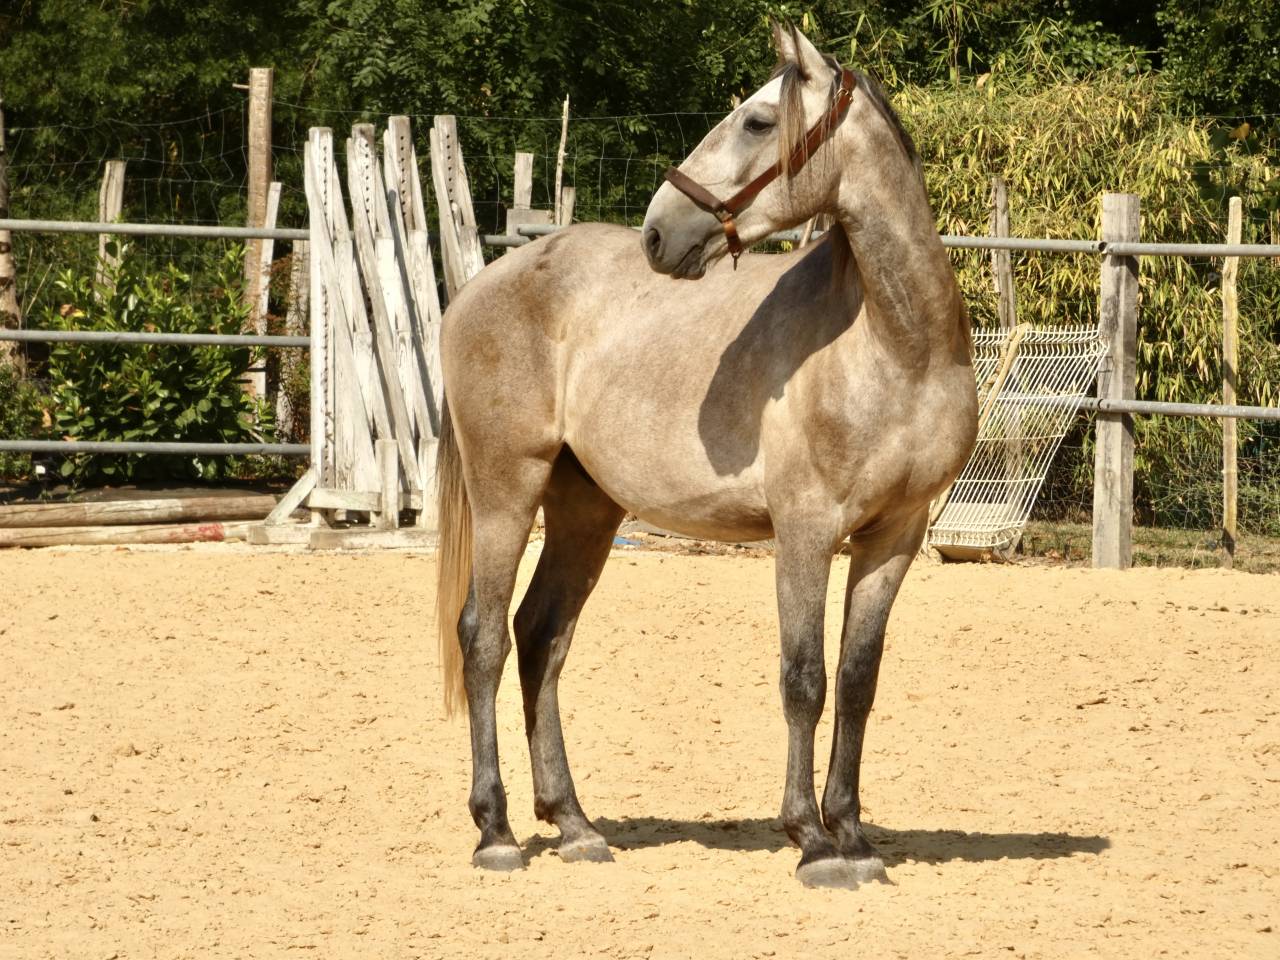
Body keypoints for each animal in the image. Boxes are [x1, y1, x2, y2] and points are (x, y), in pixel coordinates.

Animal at [433, 23, 978, 889]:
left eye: (758, 121)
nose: (660, 232)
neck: (898, 348)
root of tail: (483, 283)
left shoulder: (895, 536)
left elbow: (857, 681)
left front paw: (855, 838)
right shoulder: (804, 531)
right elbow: (804, 679)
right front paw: (811, 841)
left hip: (585, 509)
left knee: (541, 637)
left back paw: (575, 824)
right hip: (504, 493)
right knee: (483, 639)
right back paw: (497, 832)